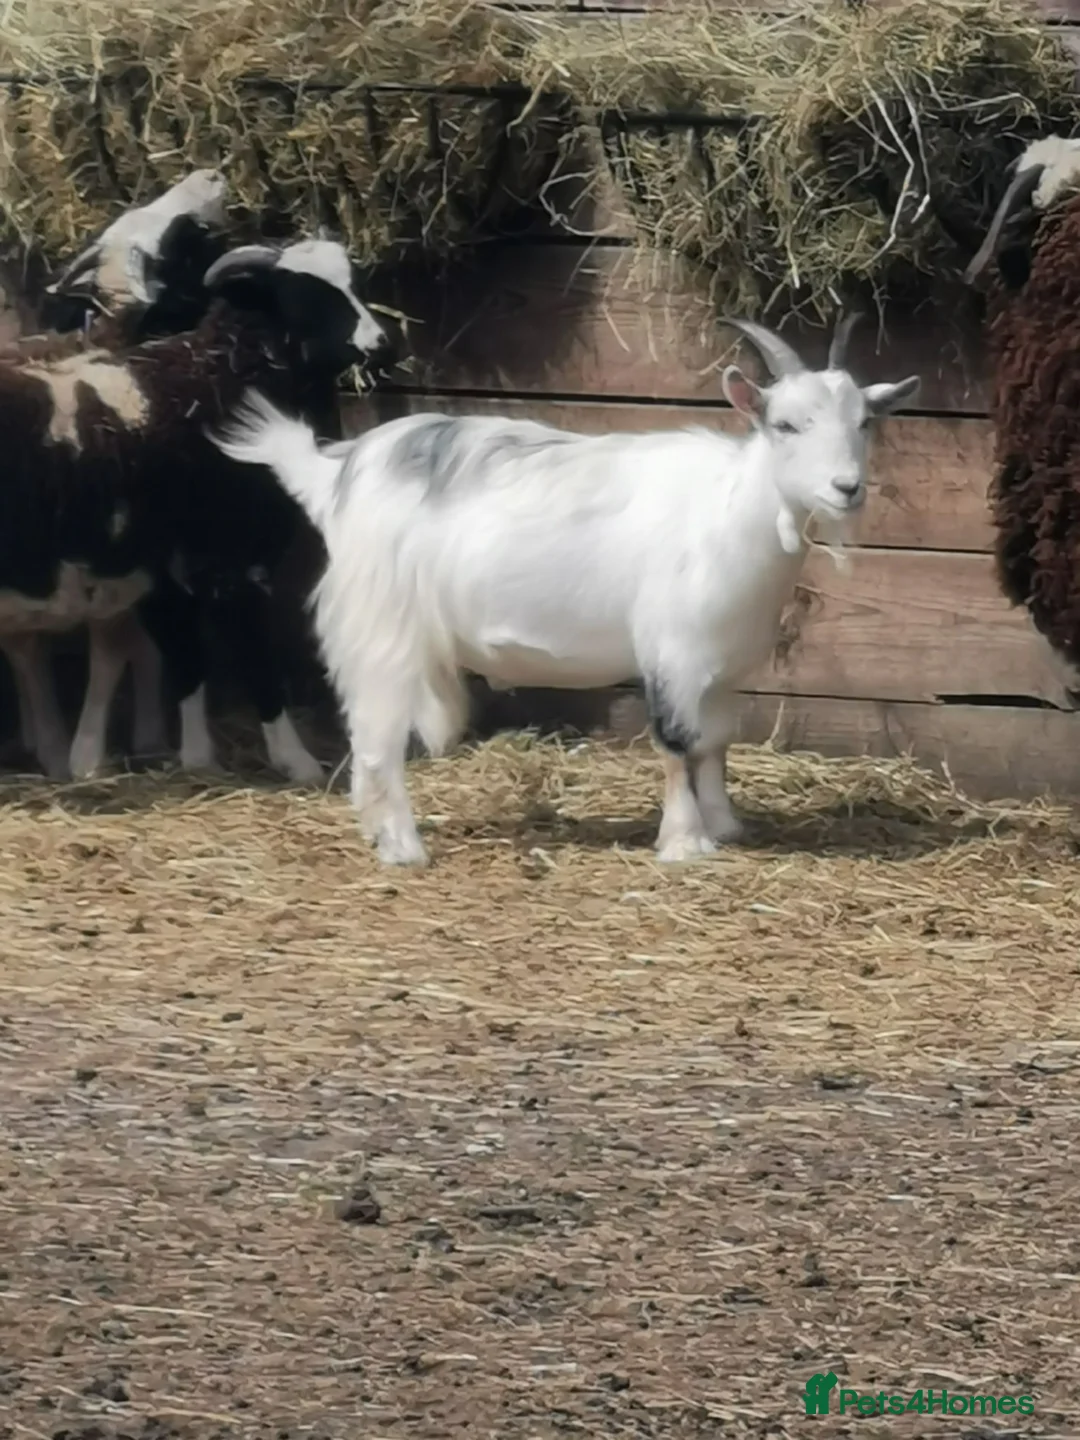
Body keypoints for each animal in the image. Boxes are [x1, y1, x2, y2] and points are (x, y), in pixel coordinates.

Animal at [0, 235, 393, 784]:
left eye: (354, 283)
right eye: (304, 295)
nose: (383, 344)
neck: (221, 380)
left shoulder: (166, 574)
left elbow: (187, 665)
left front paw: (195, 760)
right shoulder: (231, 565)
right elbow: (256, 662)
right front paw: (298, 763)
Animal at [214, 315, 919, 867]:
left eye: (865, 422)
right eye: (786, 425)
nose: (847, 488)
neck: (731, 508)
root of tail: (336, 474)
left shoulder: (722, 667)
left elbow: (715, 741)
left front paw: (725, 824)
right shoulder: (671, 651)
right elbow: (674, 743)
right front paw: (684, 842)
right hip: (383, 627)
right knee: (376, 738)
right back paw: (405, 849)